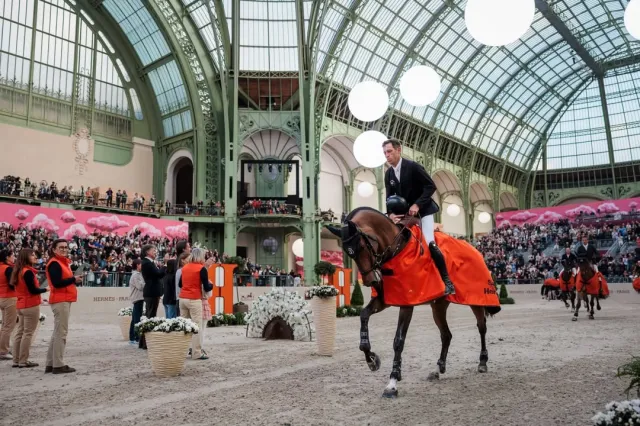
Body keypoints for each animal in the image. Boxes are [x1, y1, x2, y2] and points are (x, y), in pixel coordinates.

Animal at [325, 207, 501, 398]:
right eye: (347, 251)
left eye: (362, 246)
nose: (370, 281)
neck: (395, 251)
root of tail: (476, 249)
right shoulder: (383, 300)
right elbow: (363, 316)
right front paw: (372, 359)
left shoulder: (407, 304)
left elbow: (398, 341)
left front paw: (392, 383)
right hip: (438, 306)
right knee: (446, 335)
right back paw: (438, 369)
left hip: (475, 299)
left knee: (481, 327)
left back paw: (482, 362)